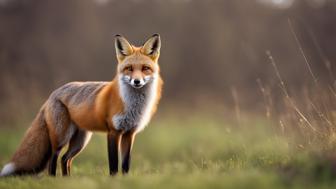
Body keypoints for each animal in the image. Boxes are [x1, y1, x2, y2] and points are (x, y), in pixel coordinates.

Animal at [0, 34, 163, 177]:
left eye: (145, 68)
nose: (137, 81)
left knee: (65, 159)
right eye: (129, 68)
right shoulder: (113, 132)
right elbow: (113, 165)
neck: (132, 106)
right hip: (61, 136)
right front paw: (114, 181)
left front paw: (125, 180)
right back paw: (54, 180)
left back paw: (68, 180)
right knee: (53, 158)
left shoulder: (129, 133)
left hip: (80, 141)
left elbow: (125, 165)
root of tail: (53, 93)